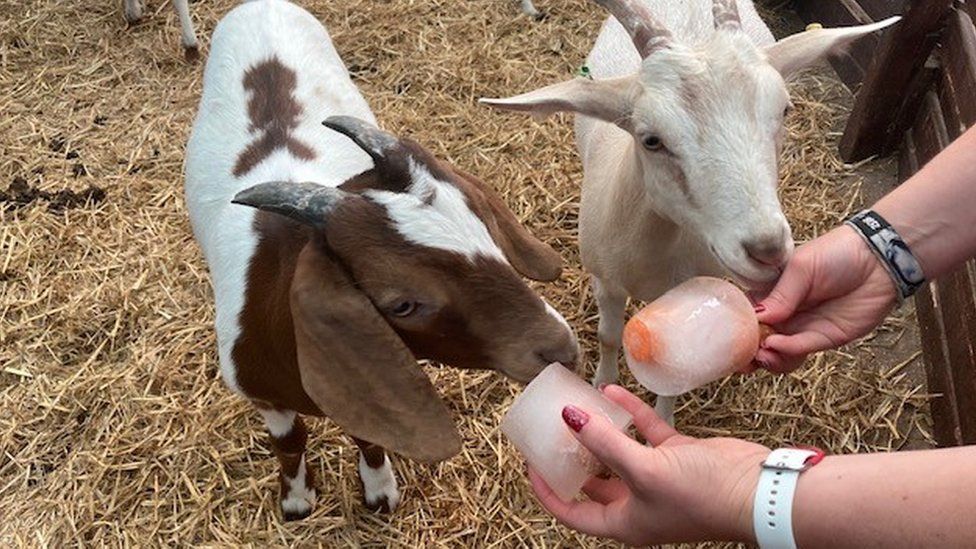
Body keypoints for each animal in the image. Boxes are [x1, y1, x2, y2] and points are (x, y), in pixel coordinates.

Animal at [185, 0, 580, 516]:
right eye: (402, 304)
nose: (561, 349)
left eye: (489, 235)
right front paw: (296, 499)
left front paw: (378, 488)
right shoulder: (264, 396)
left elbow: (367, 432)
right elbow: (290, 442)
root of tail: (260, 5)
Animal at [484, 0, 896, 420]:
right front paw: (602, 389)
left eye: (785, 110)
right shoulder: (605, 280)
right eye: (651, 139)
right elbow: (608, 336)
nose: (768, 251)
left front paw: (661, 421)